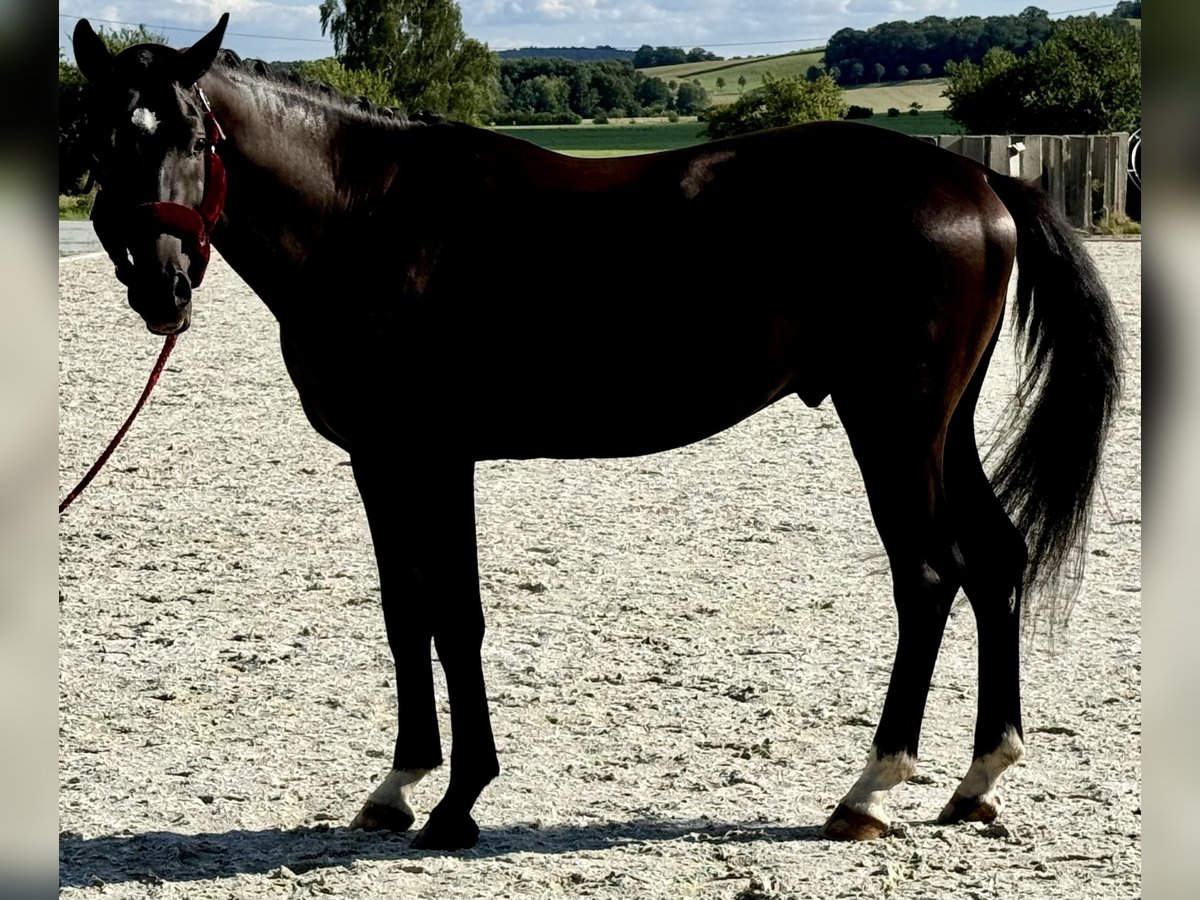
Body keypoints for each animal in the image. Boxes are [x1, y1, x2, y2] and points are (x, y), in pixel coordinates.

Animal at [72, 15, 1123, 854]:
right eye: (101, 136)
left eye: (194, 133)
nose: (161, 283)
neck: (368, 217)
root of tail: (977, 176)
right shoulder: (378, 461)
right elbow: (404, 612)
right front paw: (399, 785)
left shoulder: (437, 457)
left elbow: (456, 616)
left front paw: (459, 800)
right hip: (942, 426)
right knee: (996, 560)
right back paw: (978, 779)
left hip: (893, 424)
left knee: (931, 575)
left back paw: (868, 789)